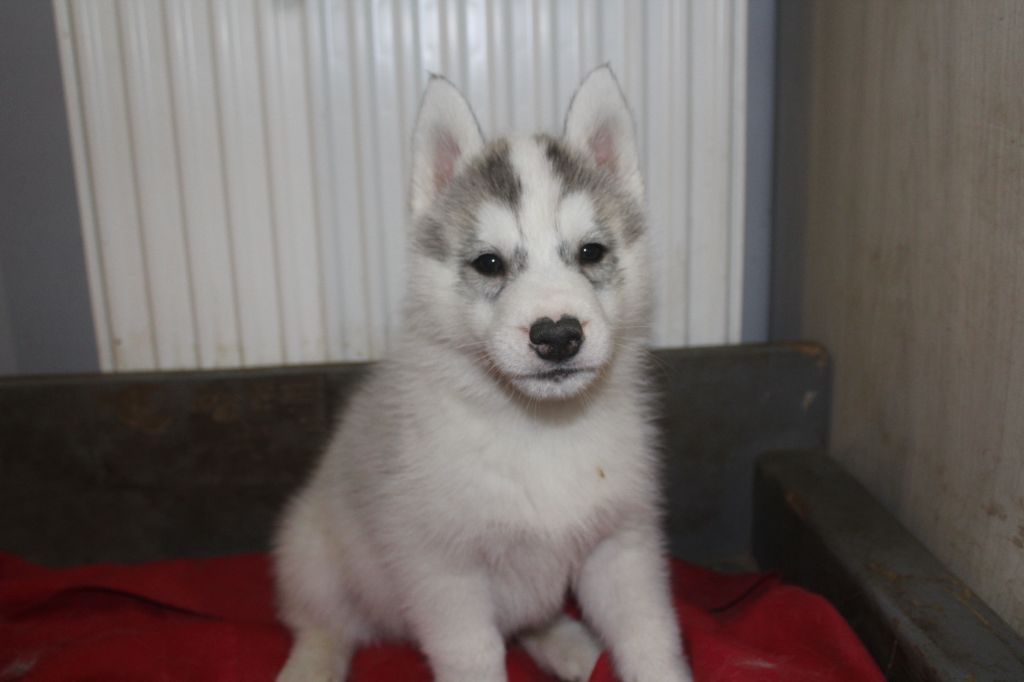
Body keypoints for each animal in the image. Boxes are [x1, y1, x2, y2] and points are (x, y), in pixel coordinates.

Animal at [273, 65, 693, 682]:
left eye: (591, 252)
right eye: (488, 263)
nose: (557, 335)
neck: (541, 430)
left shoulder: (622, 548)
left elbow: (648, 637)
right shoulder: (447, 578)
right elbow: (475, 656)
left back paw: (570, 646)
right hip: (313, 555)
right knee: (323, 624)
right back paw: (311, 665)